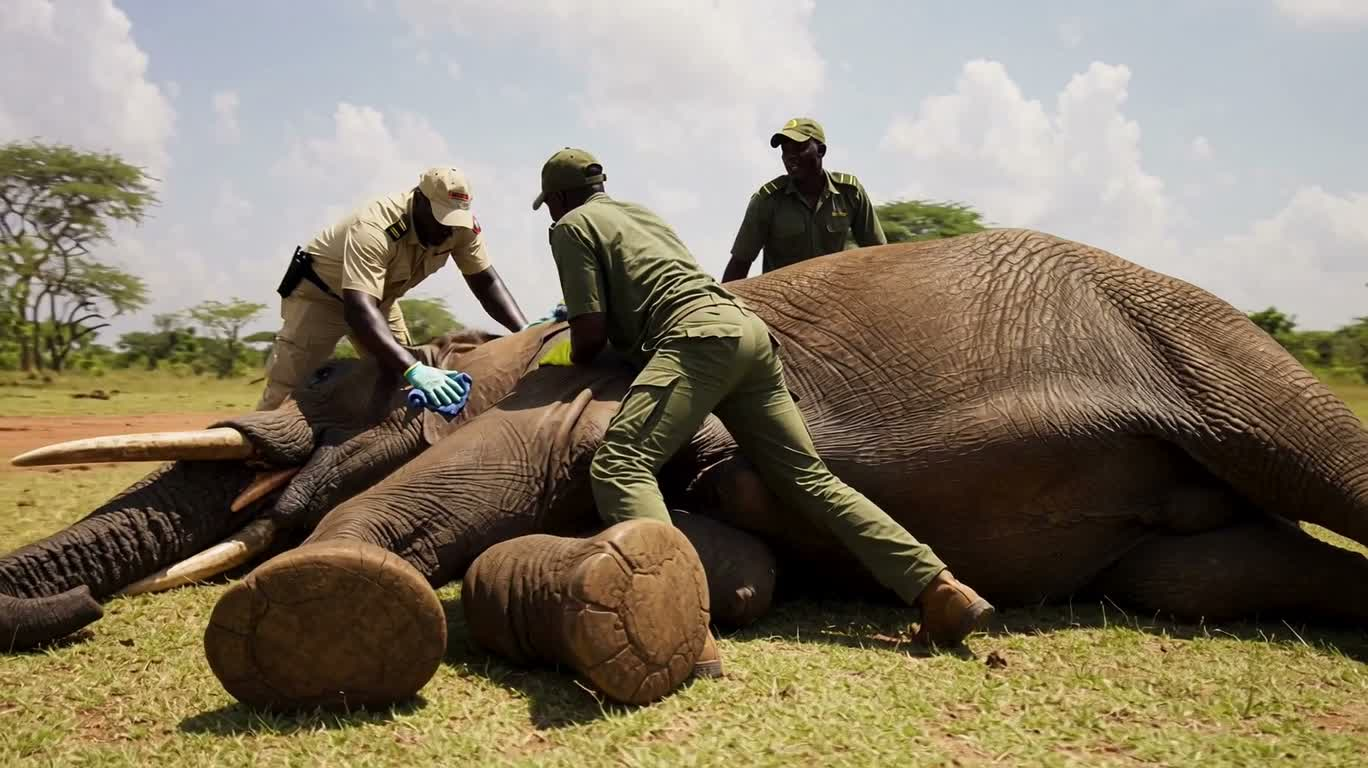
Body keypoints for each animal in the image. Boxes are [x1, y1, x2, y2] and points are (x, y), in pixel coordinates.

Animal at [4, 229, 1366, 710]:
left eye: (333, 382)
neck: (493, 356)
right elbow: (736, 562)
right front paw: (677, 606)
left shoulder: (559, 400)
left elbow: (437, 501)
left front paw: (316, 622)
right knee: (1200, 577)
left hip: (1213, 347)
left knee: (1322, 467)